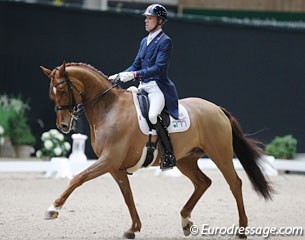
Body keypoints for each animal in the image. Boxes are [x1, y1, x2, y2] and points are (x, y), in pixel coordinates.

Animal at [39, 62, 270, 239]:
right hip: (185, 160)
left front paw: (53, 209)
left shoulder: (109, 160)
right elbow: (128, 195)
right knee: (203, 182)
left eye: (62, 91)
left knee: (235, 183)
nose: (63, 126)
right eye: (51, 95)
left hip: (220, 154)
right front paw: (133, 229)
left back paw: (241, 230)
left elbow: (77, 178)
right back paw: (186, 220)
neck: (109, 109)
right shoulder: (115, 167)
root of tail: (217, 109)